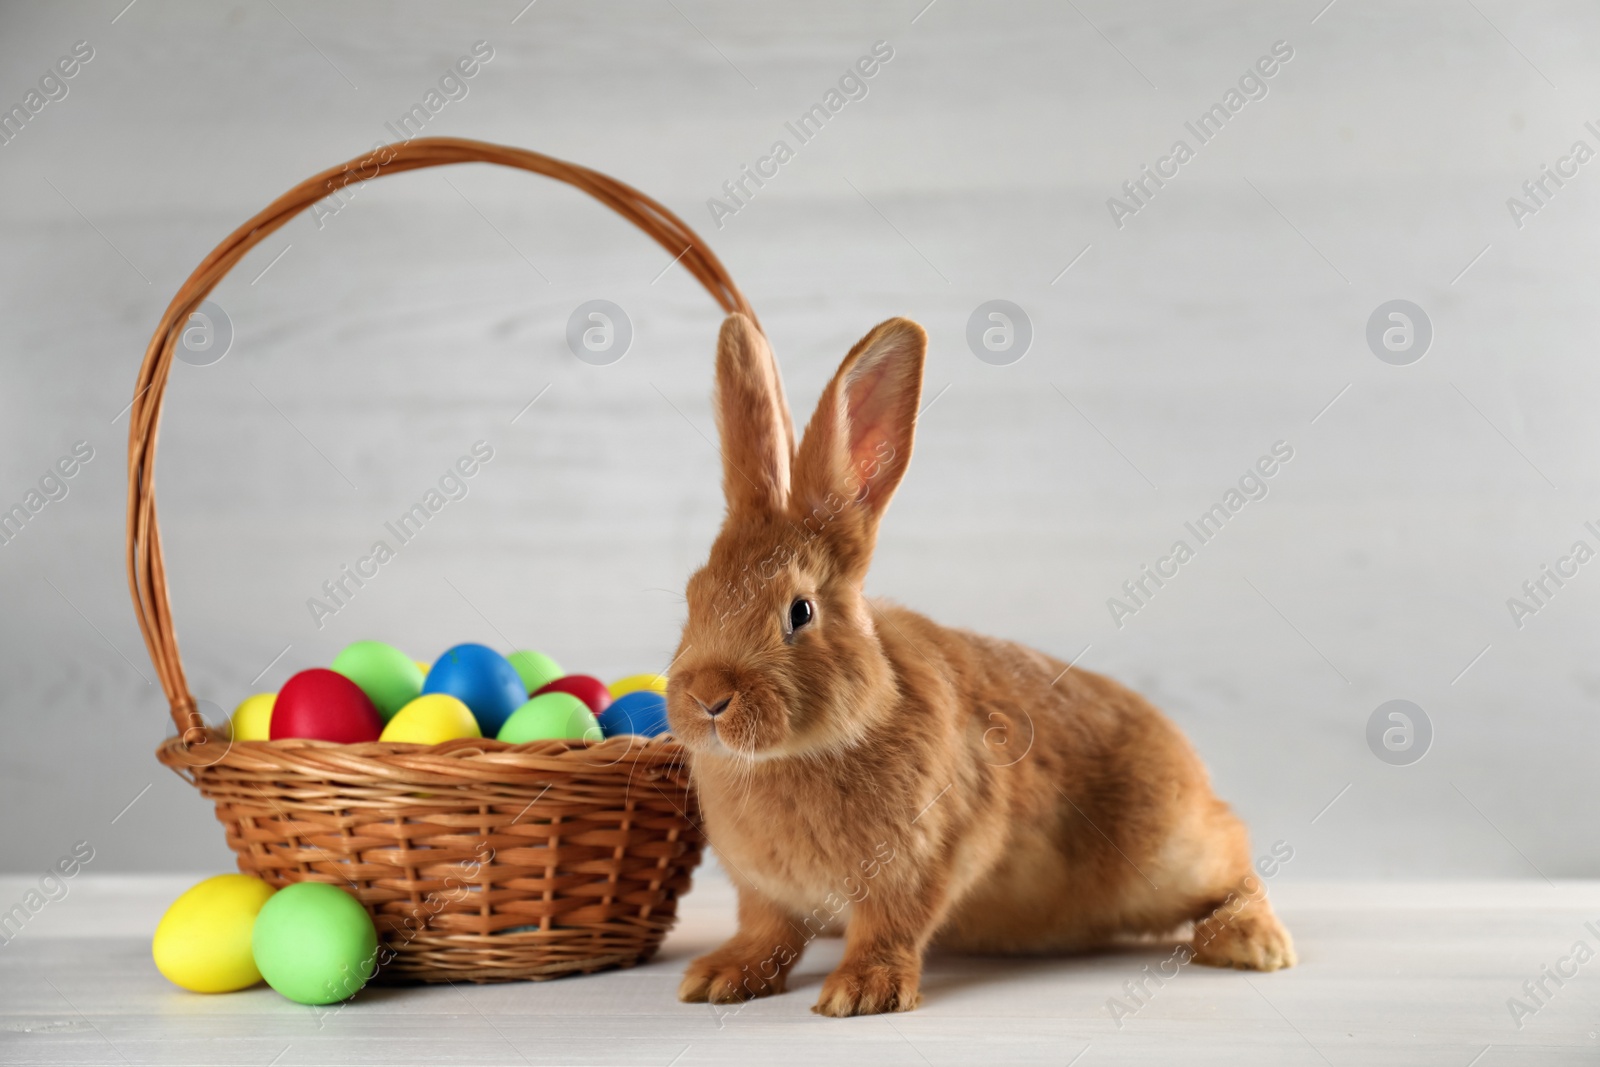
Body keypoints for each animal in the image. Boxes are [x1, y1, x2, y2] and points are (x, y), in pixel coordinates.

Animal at [665, 315, 1299, 1017]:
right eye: (693, 597)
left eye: (799, 612)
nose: (707, 697)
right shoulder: (764, 892)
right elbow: (766, 932)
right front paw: (719, 977)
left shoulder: (922, 861)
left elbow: (890, 927)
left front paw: (862, 992)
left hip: (1172, 851)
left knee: (1236, 860)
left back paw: (1255, 945)